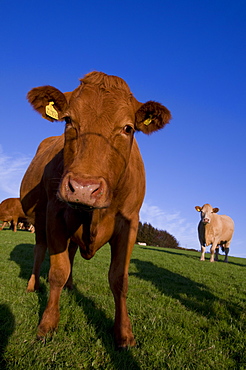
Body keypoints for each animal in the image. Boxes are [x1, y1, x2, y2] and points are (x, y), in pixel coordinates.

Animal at [20, 71, 171, 348]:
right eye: (68, 120)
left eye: (127, 128)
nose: (83, 188)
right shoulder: (54, 216)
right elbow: (56, 272)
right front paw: (47, 323)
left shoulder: (129, 223)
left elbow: (119, 279)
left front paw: (124, 333)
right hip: (39, 221)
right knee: (39, 251)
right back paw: (32, 285)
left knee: (69, 254)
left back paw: (70, 286)